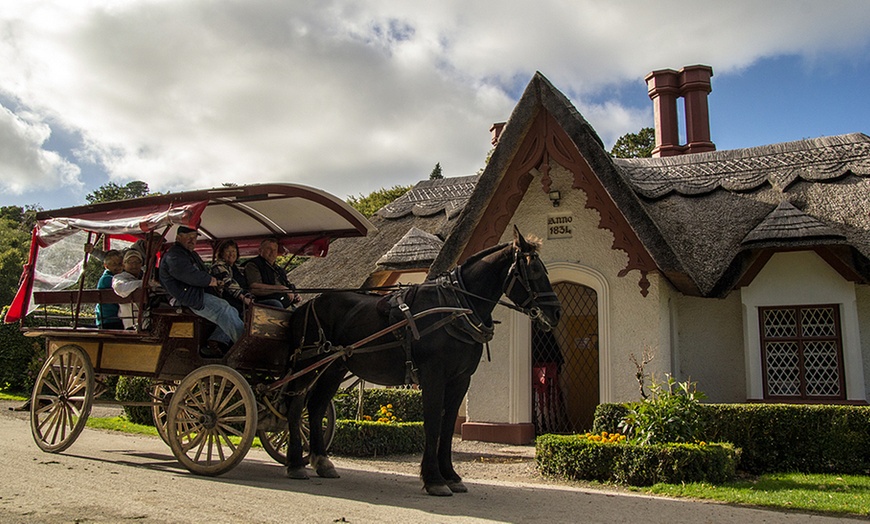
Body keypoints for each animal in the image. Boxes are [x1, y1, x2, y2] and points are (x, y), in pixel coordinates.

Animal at [282, 225, 564, 496]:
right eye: (534, 270)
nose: (556, 313)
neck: (455, 308)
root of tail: (308, 304)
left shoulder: (460, 380)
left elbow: (448, 427)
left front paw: (450, 475)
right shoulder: (433, 376)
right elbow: (433, 424)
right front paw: (434, 479)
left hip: (334, 368)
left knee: (316, 407)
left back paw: (321, 461)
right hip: (307, 366)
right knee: (295, 406)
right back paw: (295, 463)